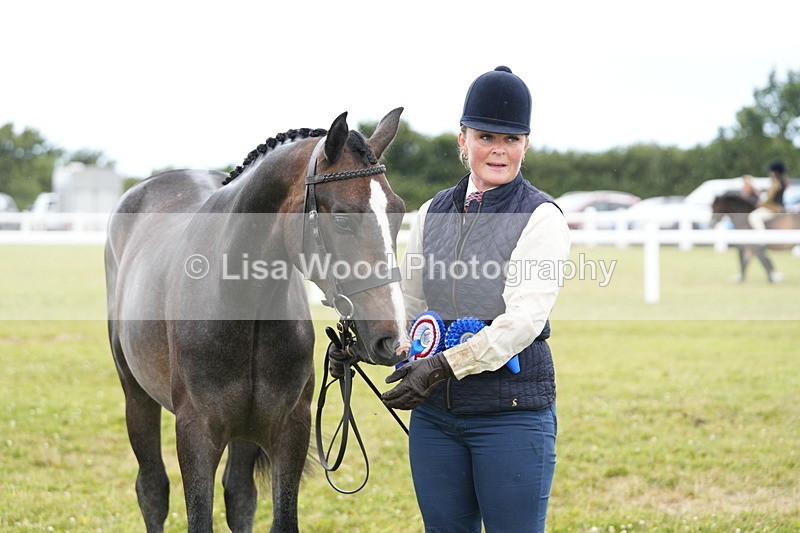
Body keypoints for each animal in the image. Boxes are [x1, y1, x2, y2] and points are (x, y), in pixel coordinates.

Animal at [104, 108, 409, 532]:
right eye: (343, 217)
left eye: (398, 212)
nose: (392, 338)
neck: (240, 304)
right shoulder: (196, 433)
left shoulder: (288, 429)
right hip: (136, 395)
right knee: (152, 490)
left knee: (239, 496)